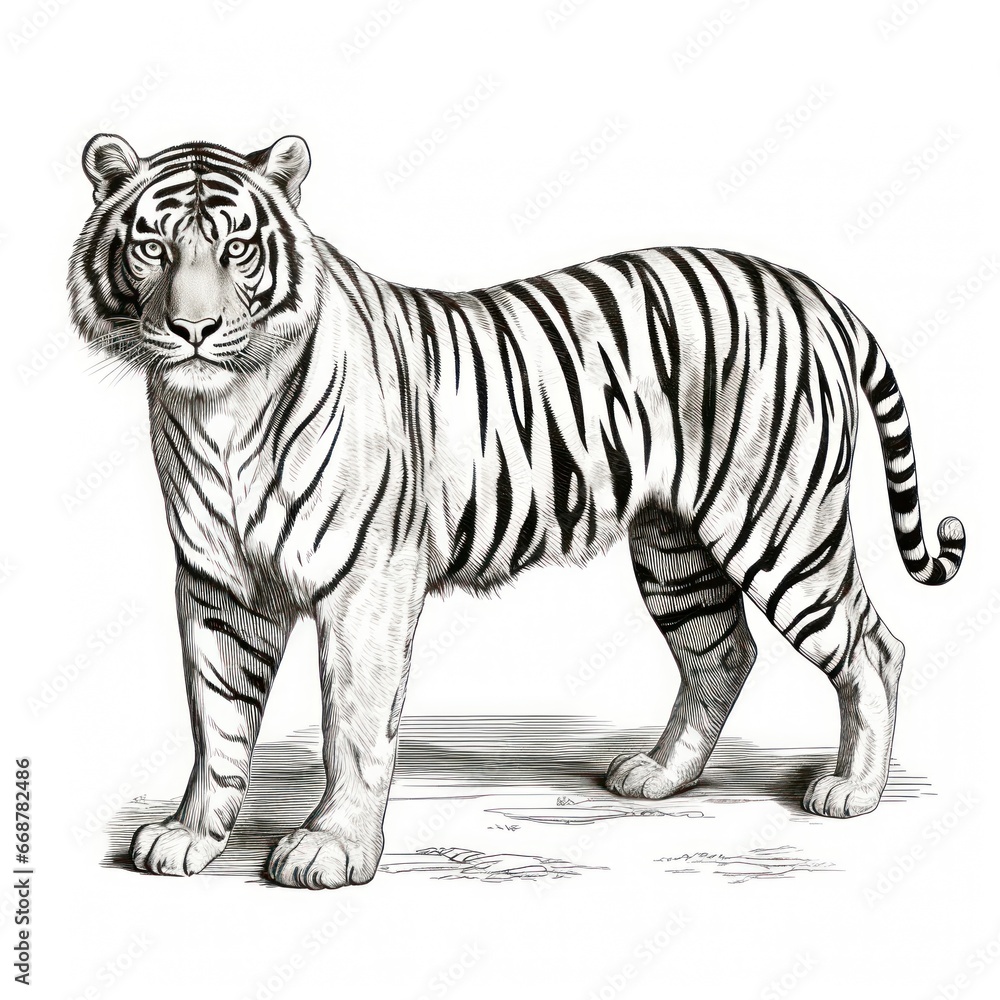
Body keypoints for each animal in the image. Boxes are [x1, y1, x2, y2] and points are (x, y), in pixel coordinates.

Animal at [69, 132, 965, 890]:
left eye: (237, 248)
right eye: (153, 247)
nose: (192, 328)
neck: (217, 409)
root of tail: (807, 289)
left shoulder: (368, 585)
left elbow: (352, 724)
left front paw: (332, 849)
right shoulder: (218, 581)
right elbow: (216, 720)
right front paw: (191, 834)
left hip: (781, 527)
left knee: (874, 648)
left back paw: (851, 791)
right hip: (674, 548)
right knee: (725, 652)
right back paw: (657, 775)